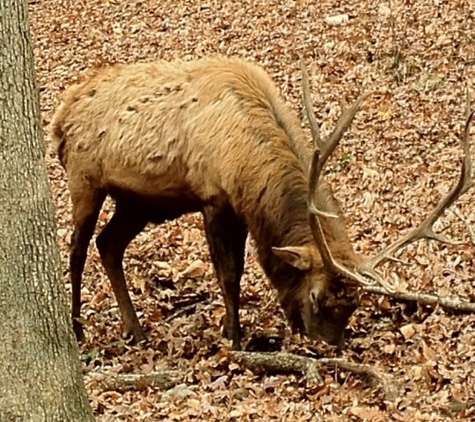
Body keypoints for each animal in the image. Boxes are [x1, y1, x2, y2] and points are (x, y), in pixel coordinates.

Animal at [50, 56, 474, 352]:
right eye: (317, 298)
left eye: (354, 306)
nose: (328, 349)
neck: (247, 167)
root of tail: (60, 115)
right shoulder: (213, 198)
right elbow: (229, 274)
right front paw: (235, 339)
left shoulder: (236, 208)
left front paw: (229, 329)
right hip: (84, 179)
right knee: (77, 248)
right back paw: (76, 326)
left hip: (138, 202)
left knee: (109, 244)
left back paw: (135, 330)